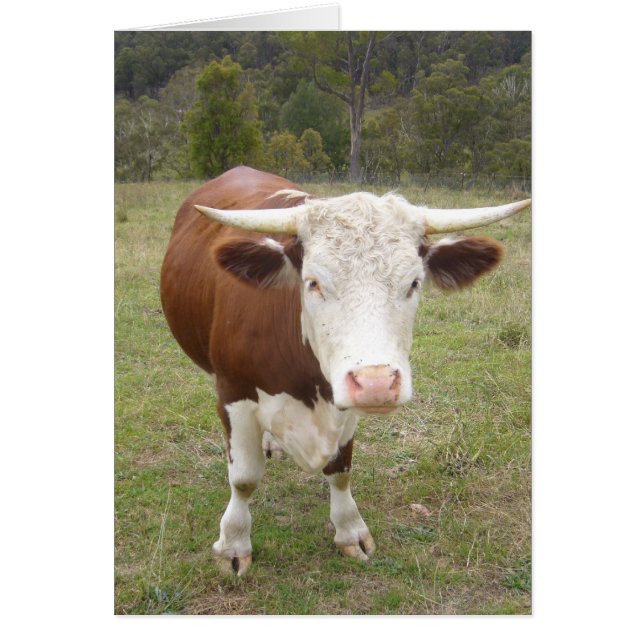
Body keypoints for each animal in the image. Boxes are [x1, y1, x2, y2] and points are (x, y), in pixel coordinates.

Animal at [160, 165, 530, 576]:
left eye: (414, 282)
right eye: (313, 282)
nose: (377, 383)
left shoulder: (344, 400)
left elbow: (341, 469)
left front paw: (350, 529)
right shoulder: (233, 392)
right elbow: (243, 479)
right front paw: (233, 545)